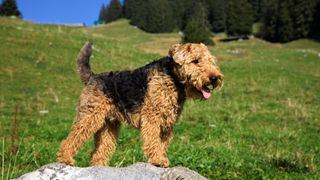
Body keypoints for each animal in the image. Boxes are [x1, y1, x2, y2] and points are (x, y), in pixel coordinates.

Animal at [57, 41, 222, 167]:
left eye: (211, 61)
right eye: (195, 61)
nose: (214, 78)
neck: (173, 78)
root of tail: (92, 77)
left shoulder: (168, 122)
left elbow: (162, 144)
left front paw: (162, 159)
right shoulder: (153, 117)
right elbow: (153, 141)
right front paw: (157, 160)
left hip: (109, 125)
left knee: (99, 150)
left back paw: (99, 166)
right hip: (89, 116)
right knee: (71, 139)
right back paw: (65, 159)